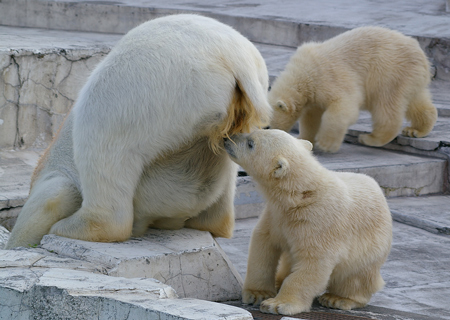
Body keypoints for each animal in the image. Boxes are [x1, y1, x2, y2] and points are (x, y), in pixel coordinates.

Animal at [223, 129, 392, 314]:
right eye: (252, 132)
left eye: (250, 143)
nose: (226, 139)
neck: (300, 196)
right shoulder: (276, 215)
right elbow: (264, 243)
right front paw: (257, 294)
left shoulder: (318, 221)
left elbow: (313, 262)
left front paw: (277, 304)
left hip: (370, 250)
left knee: (356, 277)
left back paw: (337, 298)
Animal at [268, 25, 438, 153]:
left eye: (268, 126)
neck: (303, 73)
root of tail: (422, 56)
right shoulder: (312, 95)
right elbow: (311, 117)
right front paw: (303, 140)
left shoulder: (329, 77)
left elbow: (343, 107)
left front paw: (325, 144)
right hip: (409, 77)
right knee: (416, 101)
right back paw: (415, 130)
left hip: (388, 71)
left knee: (386, 106)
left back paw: (371, 138)